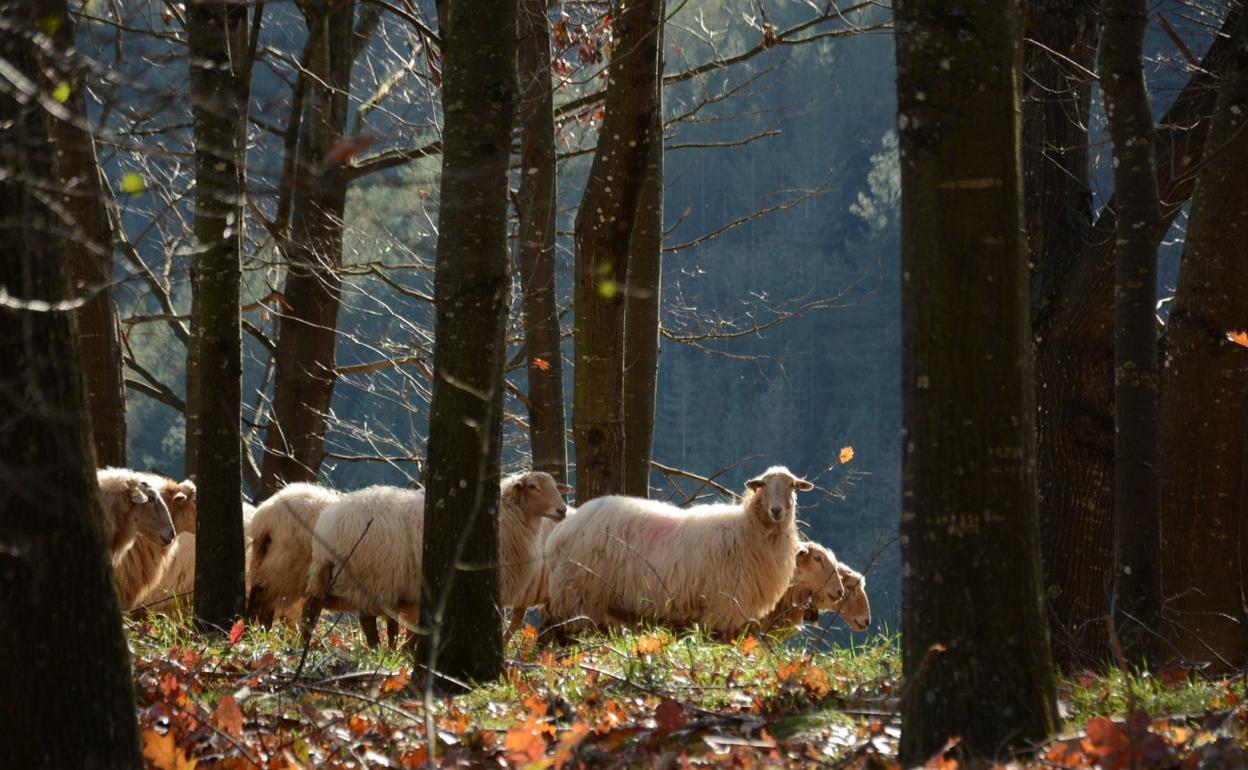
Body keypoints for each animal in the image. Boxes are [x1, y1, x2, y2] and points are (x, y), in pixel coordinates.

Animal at [543, 466, 813, 637]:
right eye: (764, 485)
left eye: (792, 486)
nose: (777, 510)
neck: (747, 530)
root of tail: (564, 529)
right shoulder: (721, 606)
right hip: (579, 594)